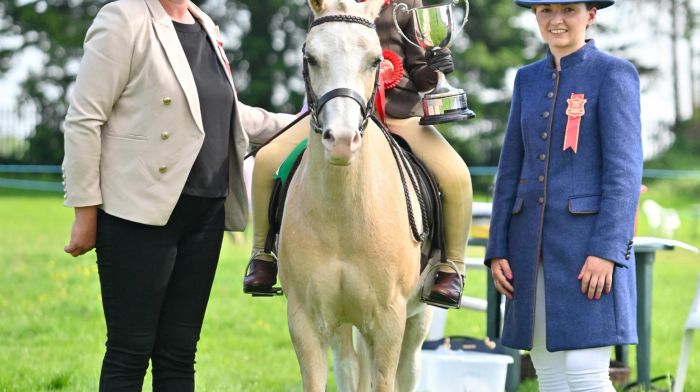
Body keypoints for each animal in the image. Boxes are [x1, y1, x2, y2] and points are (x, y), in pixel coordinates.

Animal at [278, 0, 432, 392]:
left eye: (376, 60)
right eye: (311, 57)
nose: (343, 141)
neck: (343, 214)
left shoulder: (389, 322)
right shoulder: (305, 319)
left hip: (416, 320)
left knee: (409, 369)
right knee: (349, 366)